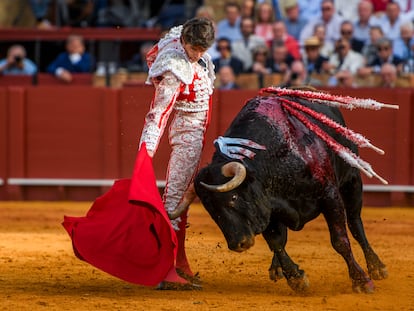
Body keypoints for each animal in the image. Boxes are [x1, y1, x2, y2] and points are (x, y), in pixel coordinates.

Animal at [194, 95, 388, 294]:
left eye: (233, 198)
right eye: (211, 210)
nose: (237, 244)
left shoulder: (330, 195)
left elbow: (340, 240)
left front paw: (361, 280)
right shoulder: (268, 207)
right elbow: (277, 243)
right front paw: (296, 278)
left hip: (352, 180)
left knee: (355, 223)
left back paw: (376, 267)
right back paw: (276, 268)